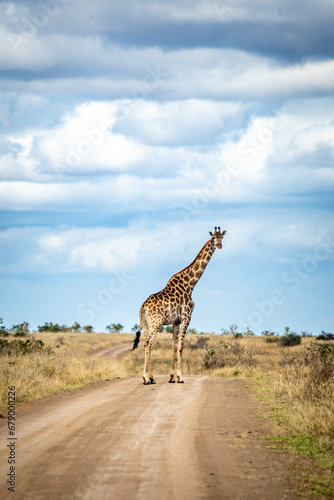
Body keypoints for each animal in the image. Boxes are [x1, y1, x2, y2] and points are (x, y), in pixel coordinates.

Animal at [132, 229, 226, 384]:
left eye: (222, 237)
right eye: (213, 237)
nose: (219, 245)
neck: (190, 284)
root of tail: (143, 306)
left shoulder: (175, 321)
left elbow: (174, 346)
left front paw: (171, 377)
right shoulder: (187, 317)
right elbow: (181, 346)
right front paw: (180, 377)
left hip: (146, 324)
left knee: (146, 343)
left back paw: (150, 378)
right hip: (155, 323)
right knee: (148, 344)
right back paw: (147, 378)